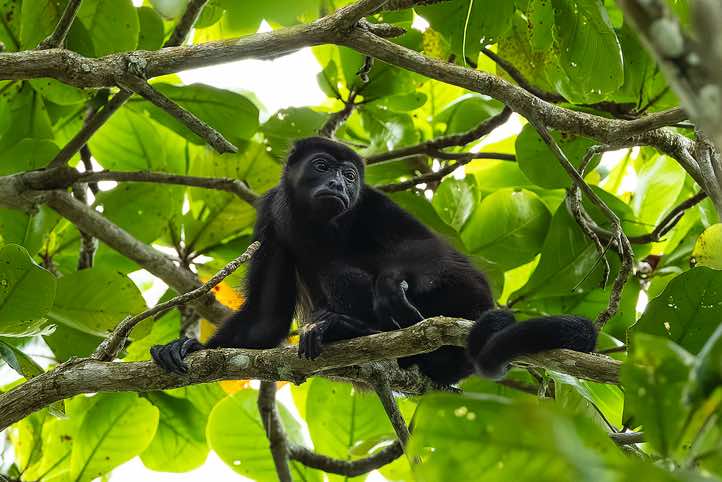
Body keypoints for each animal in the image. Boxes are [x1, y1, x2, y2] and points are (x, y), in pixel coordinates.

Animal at [151, 136, 596, 385]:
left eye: (350, 175)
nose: (338, 183)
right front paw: (186, 347)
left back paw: (349, 327)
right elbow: (265, 319)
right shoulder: (270, 220)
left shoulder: (371, 201)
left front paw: (390, 285)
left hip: (467, 301)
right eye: (322, 166)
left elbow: (439, 253)